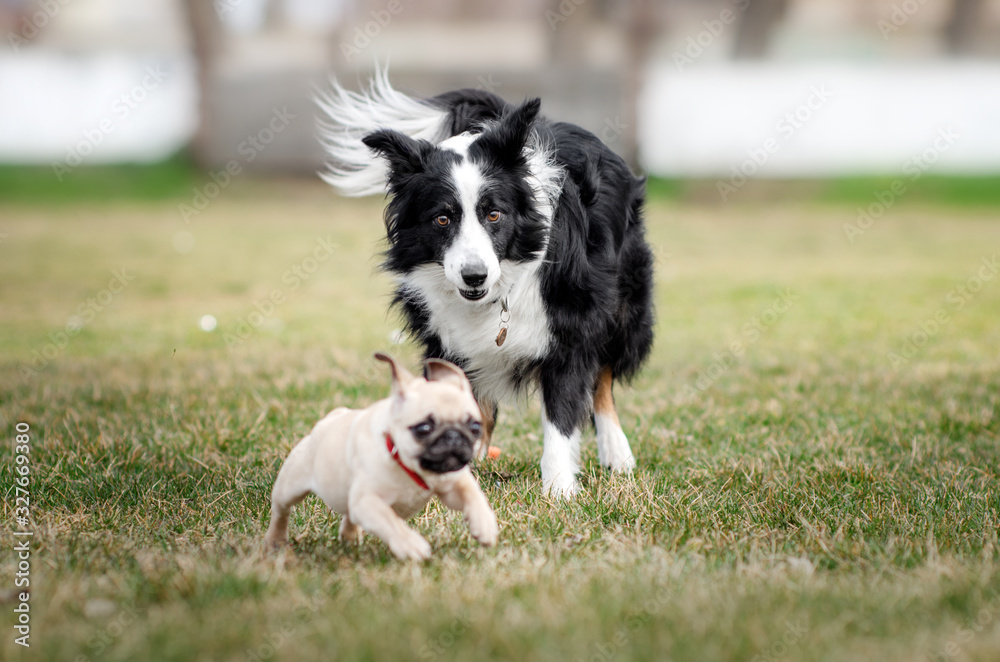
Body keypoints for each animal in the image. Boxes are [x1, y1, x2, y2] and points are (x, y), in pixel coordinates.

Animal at [264, 352, 498, 560]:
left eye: (475, 427)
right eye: (423, 428)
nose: (453, 435)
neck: (411, 467)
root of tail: (333, 417)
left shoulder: (452, 484)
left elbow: (472, 495)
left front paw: (484, 524)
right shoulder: (368, 502)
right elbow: (390, 521)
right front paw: (409, 544)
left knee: (348, 515)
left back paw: (349, 538)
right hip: (291, 484)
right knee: (281, 511)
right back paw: (275, 540)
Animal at [316, 72, 652, 498]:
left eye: (494, 214)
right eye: (442, 219)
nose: (474, 276)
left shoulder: (571, 321)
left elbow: (562, 411)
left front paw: (559, 490)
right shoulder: (444, 336)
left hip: (624, 297)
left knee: (604, 373)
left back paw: (617, 452)